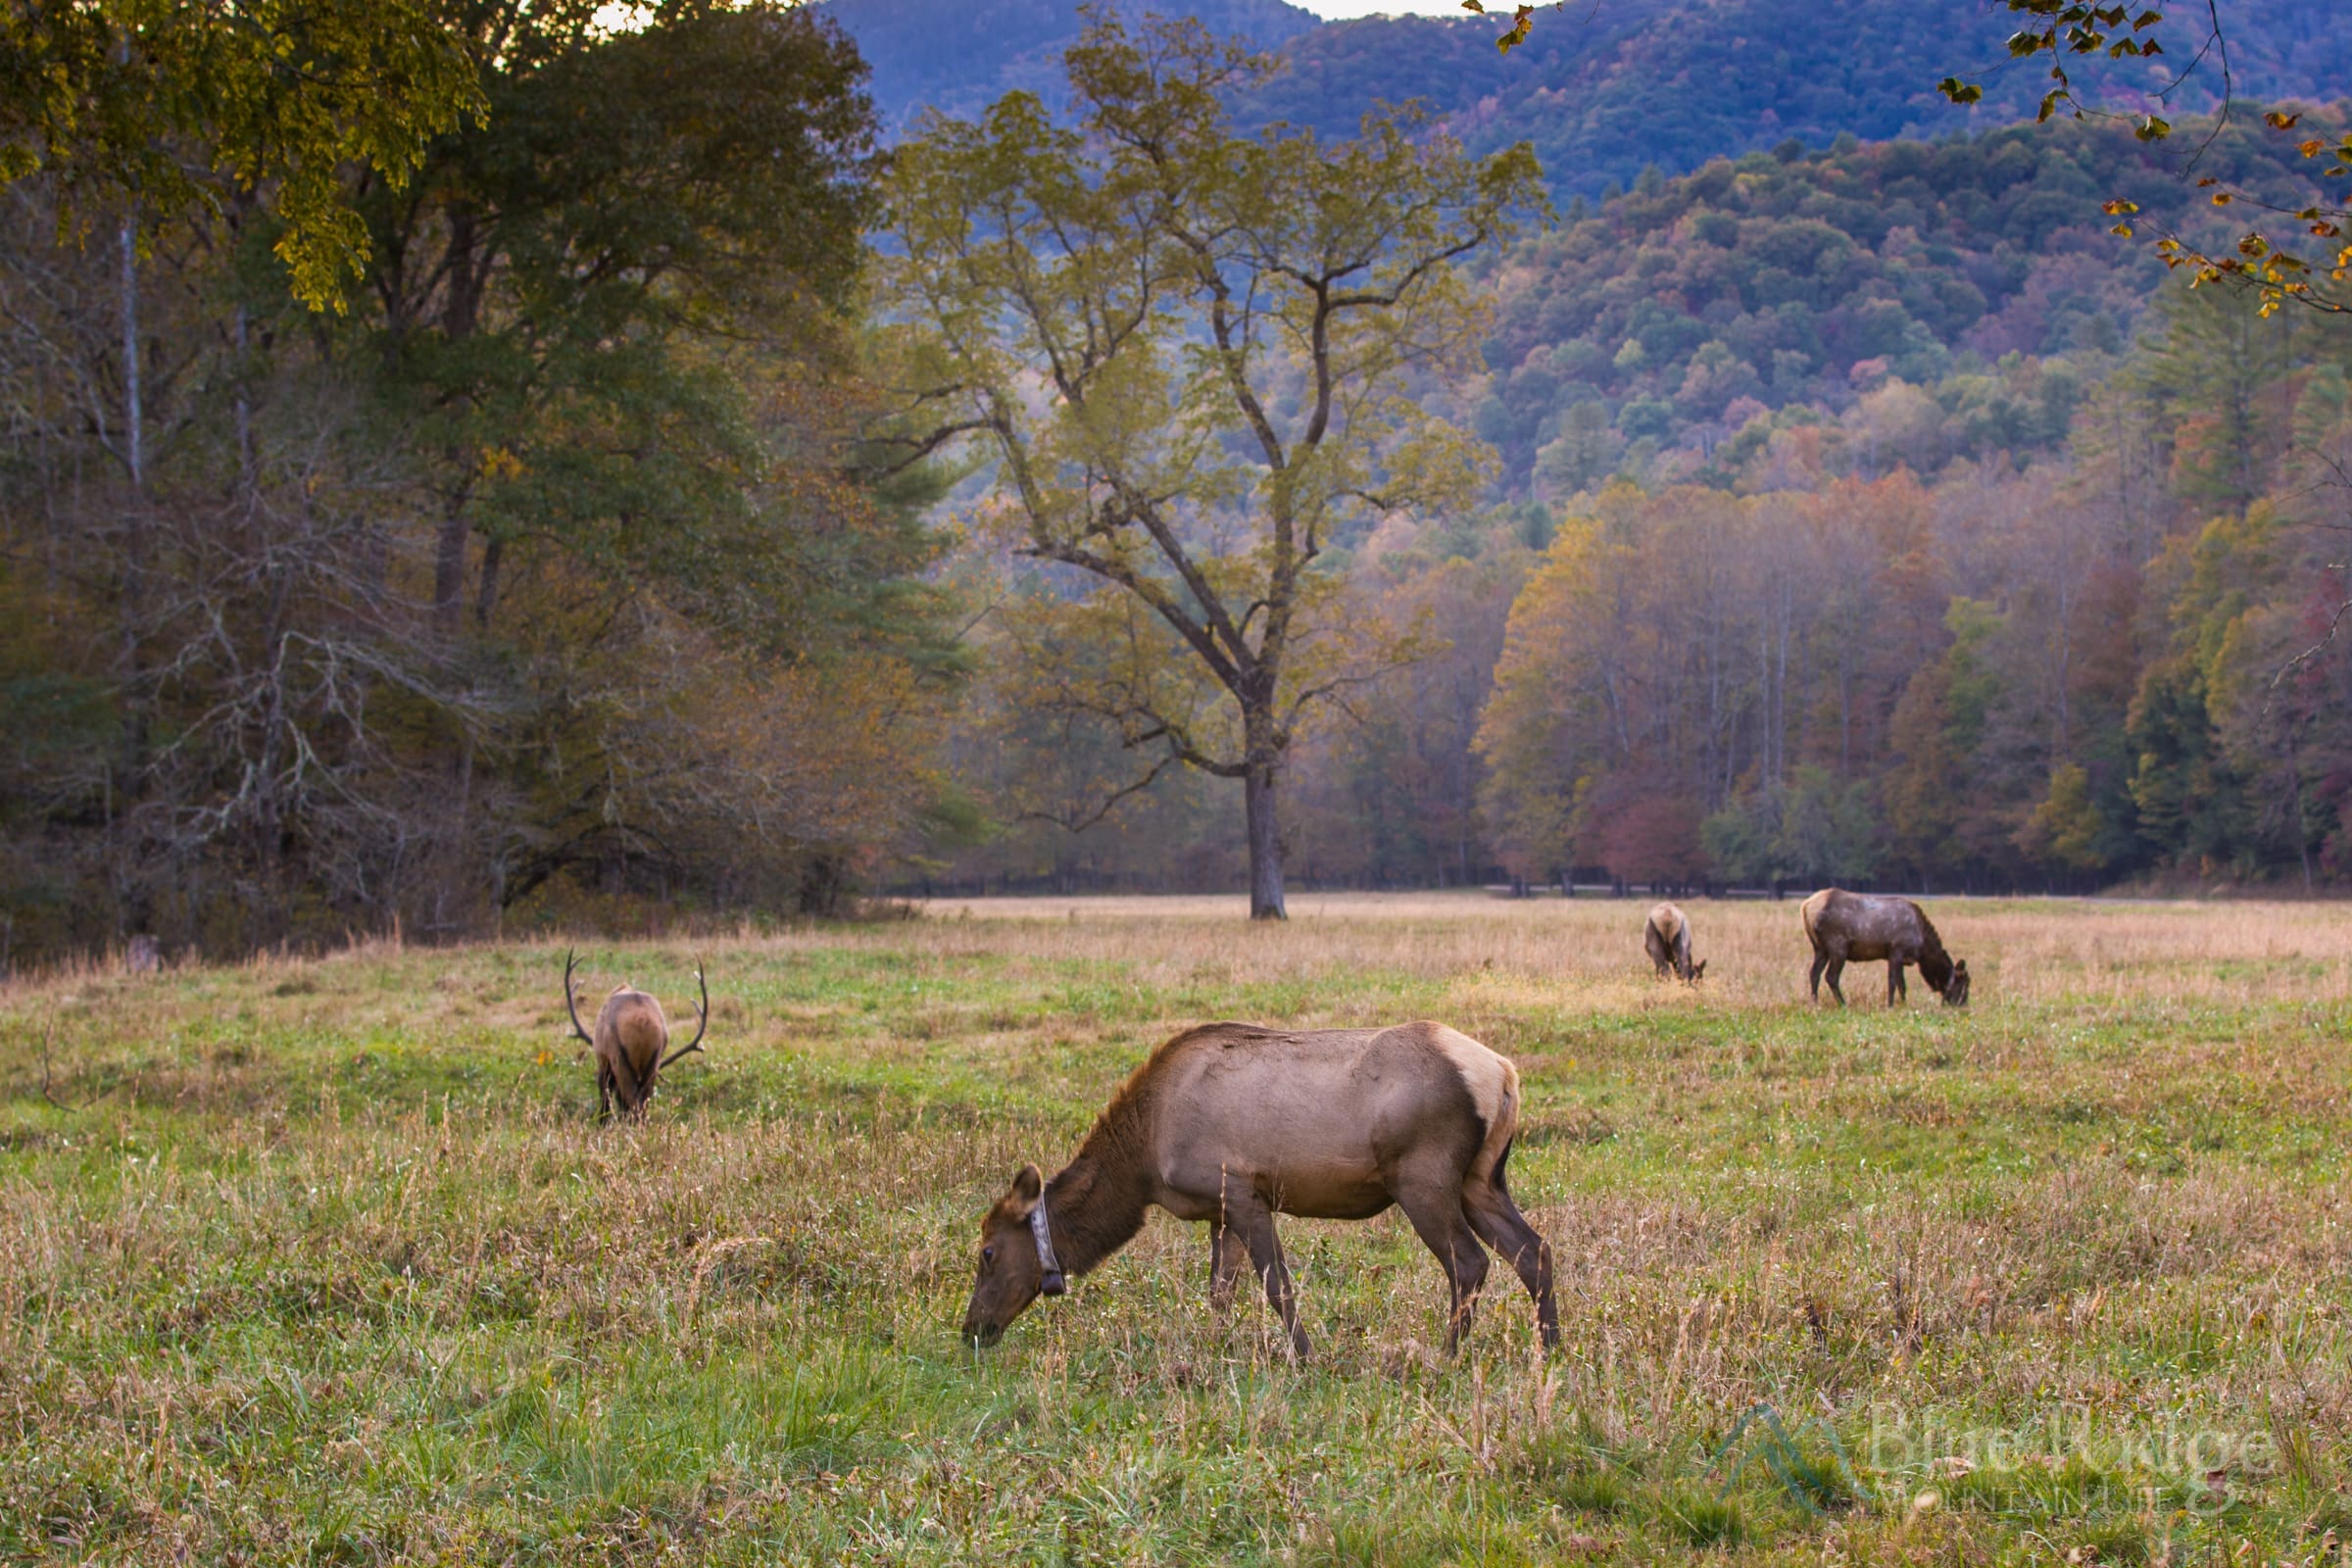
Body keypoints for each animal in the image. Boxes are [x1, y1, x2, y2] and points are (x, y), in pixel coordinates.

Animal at [561, 949, 710, 1120]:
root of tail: (641, 1020)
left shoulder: (602, 1058)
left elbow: (605, 1098)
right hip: (653, 1063)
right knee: (643, 1101)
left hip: (619, 1058)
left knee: (632, 1100)